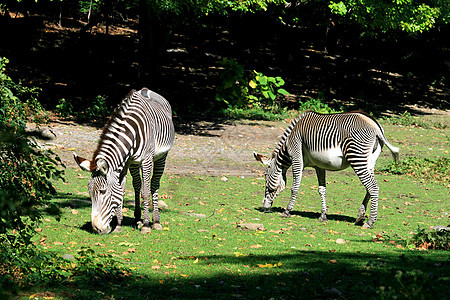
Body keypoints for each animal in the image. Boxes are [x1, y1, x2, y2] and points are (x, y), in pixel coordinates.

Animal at [74, 88, 174, 236]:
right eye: (89, 191)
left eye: (103, 191)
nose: (97, 229)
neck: (131, 133)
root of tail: (147, 90)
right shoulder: (125, 162)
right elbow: (120, 191)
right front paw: (119, 225)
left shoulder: (147, 160)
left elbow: (146, 192)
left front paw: (146, 225)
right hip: (134, 163)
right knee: (137, 185)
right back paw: (137, 218)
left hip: (161, 157)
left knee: (154, 184)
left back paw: (155, 221)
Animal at [255, 111, 400, 229]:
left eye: (265, 176)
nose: (264, 206)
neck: (288, 145)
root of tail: (376, 126)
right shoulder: (319, 166)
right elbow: (322, 189)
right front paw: (323, 215)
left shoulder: (297, 158)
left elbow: (295, 187)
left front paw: (287, 211)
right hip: (370, 161)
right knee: (369, 187)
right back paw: (360, 217)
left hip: (357, 156)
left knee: (373, 187)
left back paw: (369, 222)